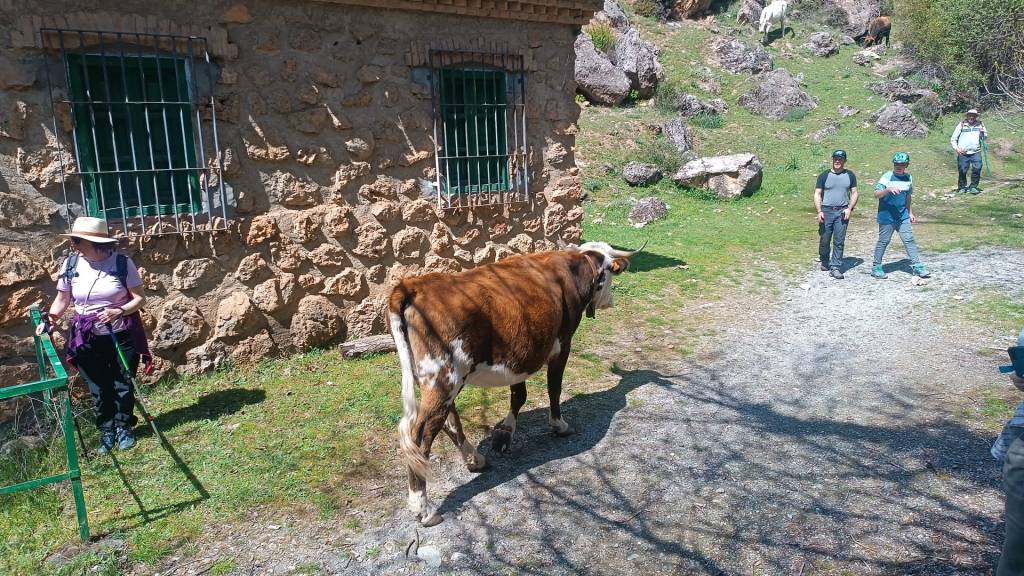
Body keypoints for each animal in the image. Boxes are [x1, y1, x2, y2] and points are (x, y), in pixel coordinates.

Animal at [388, 241, 641, 526]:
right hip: (444, 377)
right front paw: (559, 425)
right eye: (610, 272)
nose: (610, 301)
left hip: (438, 379)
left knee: (448, 422)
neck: (576, 266)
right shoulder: (562, 343)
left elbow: (518, 395)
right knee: (419, 434)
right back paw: (424, 508)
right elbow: (554, 388)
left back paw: (475, 459)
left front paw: (505, 434)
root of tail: (413, 284)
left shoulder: (518, 357)